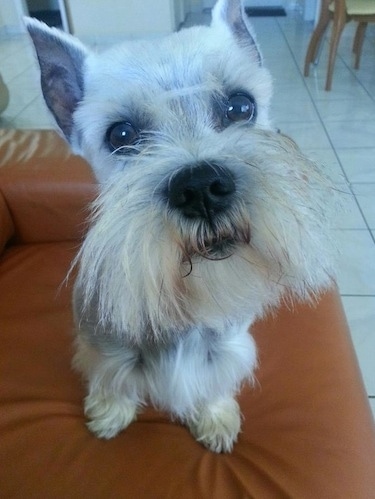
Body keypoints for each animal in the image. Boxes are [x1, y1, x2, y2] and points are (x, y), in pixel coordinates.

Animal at [27, 0, 336, 454]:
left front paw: (214, 415)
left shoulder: (222, 349)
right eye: (121, 134)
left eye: (240, 106)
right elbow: (110, 379)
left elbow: (212, 382)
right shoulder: (103, 347)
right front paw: (110, 412)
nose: (201, 188)